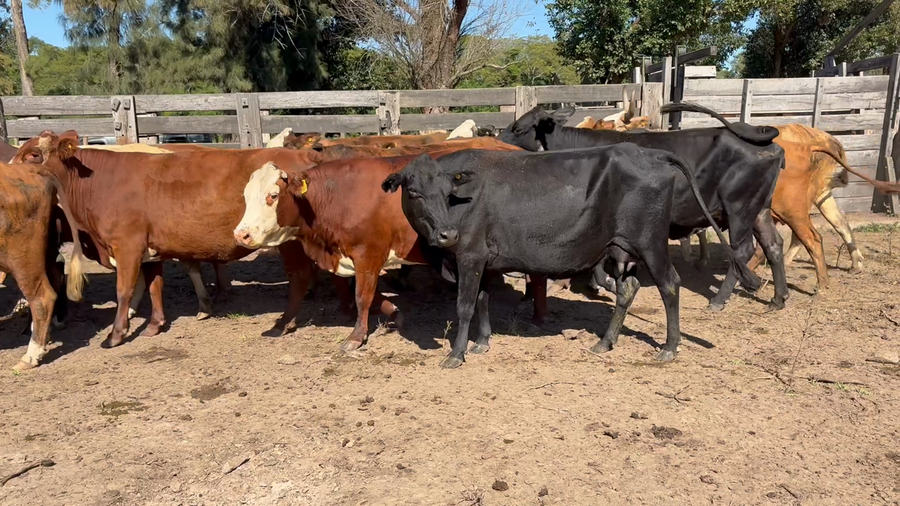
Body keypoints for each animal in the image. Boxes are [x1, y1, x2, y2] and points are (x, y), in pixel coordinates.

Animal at [13, 131, 321, 348]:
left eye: (32, 155)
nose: (9, 169)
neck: (100, 183)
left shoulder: (127, 246)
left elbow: (124, 290)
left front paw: (115, 335)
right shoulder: (150, 249)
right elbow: (154, 286)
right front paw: (154, 325)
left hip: (289, 241)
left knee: (300, 276)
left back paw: (284, 323)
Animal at [381, 145, 754, 368]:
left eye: (449, 192)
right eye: (414, 192)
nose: (448, 234)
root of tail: (647, 152)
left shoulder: (469, 255)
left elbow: (465, 305)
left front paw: (456, 354)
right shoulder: (484, 259)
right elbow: (484, 300)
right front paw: (482, 342)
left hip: (651, 244)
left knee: (670, 285)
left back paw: (669, 347)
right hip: (620, 248)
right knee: (627, 289)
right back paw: (605, 342)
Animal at [497, 102, 788, 312]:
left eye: (518, 128)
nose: (498, 138)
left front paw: (606, 285)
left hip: (739, 209)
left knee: (743, 250)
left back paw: (719, 300)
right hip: (759, 210)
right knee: (773, 244)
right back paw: (779, 297)